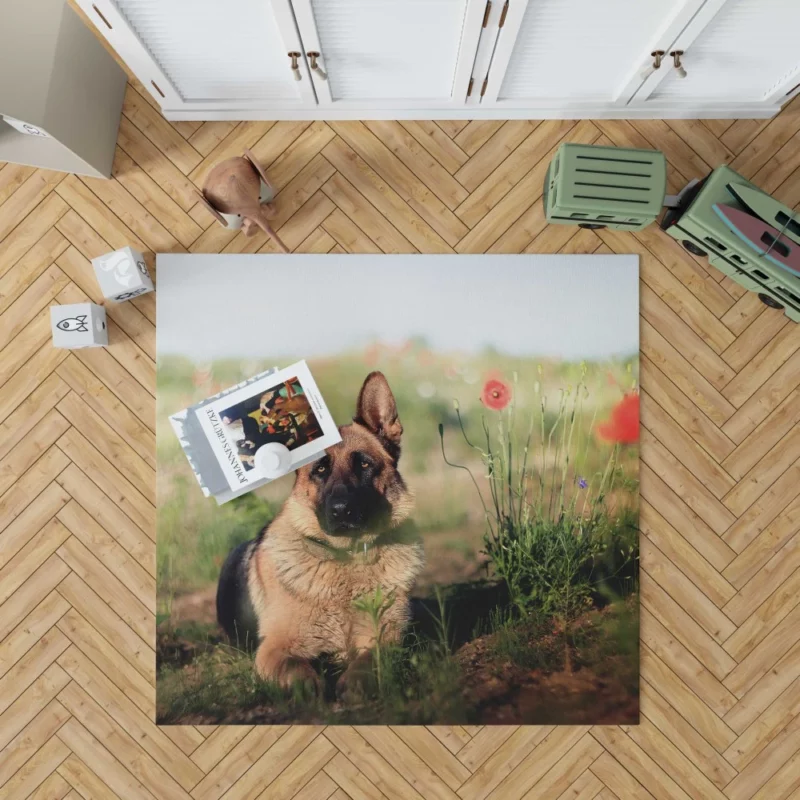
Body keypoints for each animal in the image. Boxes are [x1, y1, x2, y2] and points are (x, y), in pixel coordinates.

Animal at [216, 372, 422, 692]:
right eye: (320, 470)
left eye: (364, 464)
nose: (341, 510)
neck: (347, 559)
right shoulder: (274, 649)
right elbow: (297, 671)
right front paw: (310, 686)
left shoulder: (387, 640)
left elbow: (368, 661)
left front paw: (354, 682)